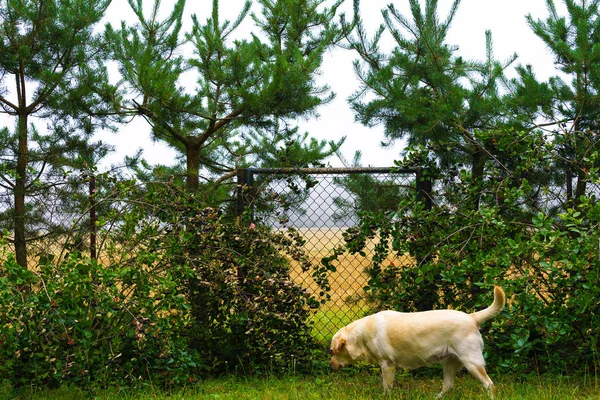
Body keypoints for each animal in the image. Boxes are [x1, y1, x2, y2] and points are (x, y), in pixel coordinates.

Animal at [330, 288, 504, 396]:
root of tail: (472, 317)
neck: (362, 335)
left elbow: (386, 388)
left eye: (333, 351)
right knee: (448, 386)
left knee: (490, 385)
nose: (330, 365)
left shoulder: (387, 366)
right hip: (450, 363)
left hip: (472, 363)